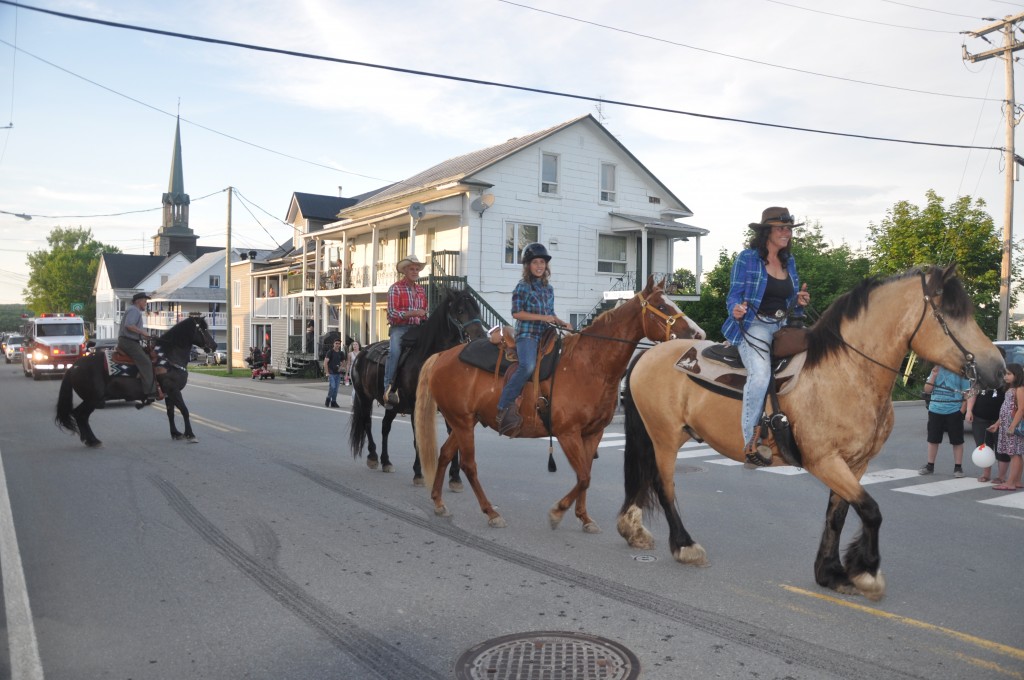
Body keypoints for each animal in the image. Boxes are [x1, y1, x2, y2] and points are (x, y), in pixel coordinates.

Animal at [56, 317, 216, 448]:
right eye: (203, 329)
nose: (214, 345)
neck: (169, 356)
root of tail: (74, 367)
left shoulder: (168, 393)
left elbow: (170, 413)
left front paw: (176, 433)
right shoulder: (174, 390)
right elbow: (184, 411)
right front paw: (190, 435)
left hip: (92, 399)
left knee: (80, 416)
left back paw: (91, 440)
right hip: (94, 399)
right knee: (80, 415)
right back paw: (92, 440)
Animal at [348, 286, 483, 489]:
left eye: (477, 309)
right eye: (460, 310)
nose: (481, 337)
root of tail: (362, 352)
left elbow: (453, 439)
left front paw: (455, 478)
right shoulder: (415, 406)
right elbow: (417, 439)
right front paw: (419, 473)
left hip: (392, 406)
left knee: (385, 427)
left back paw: (386, 461)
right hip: (365, 398)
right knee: (367, 423)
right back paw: (373, 457)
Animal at [413, 276, 704, 532]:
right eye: (663, 307)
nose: (698, 334)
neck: (590, 365)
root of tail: (442, 356)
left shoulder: (593, 433)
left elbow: (586, 475)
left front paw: (584, 518)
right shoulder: (567, 434)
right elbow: (584, 477)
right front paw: (557, 512)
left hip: (464, 422)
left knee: (445, 454)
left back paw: (438, 502)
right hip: (462, 423)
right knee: (468, 465)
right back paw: (491, 513)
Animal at [614, 266, 999, 602]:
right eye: (949, 313)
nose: (999, 369)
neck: (847, 372)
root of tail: (647, 356)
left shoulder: (854, 464)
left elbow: (838, 515)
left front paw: (832, 573)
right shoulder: (824, 460)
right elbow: (871, 510)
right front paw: (866, 572)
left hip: (667, 435)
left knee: (645, 477)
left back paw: (632, 529)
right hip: (663, 436)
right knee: (663, 485)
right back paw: (684, 545)